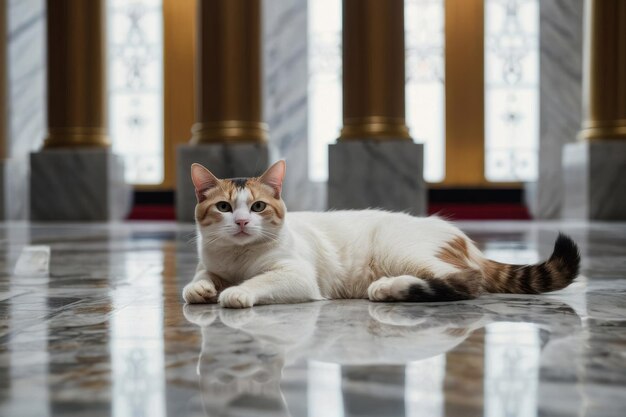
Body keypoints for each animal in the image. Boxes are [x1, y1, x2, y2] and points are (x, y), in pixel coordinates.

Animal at [182, 161, 580, 308]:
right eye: (224, 208)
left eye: (258, 207)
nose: (242, 223)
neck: (239, 258)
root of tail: (464, 240)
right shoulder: (210, 263)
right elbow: (198, 279)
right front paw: (202, 288)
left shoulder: (297, 276)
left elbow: (257, 282)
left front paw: (235, 292)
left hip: (400, 251)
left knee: (466, 280)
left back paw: (390, 287)